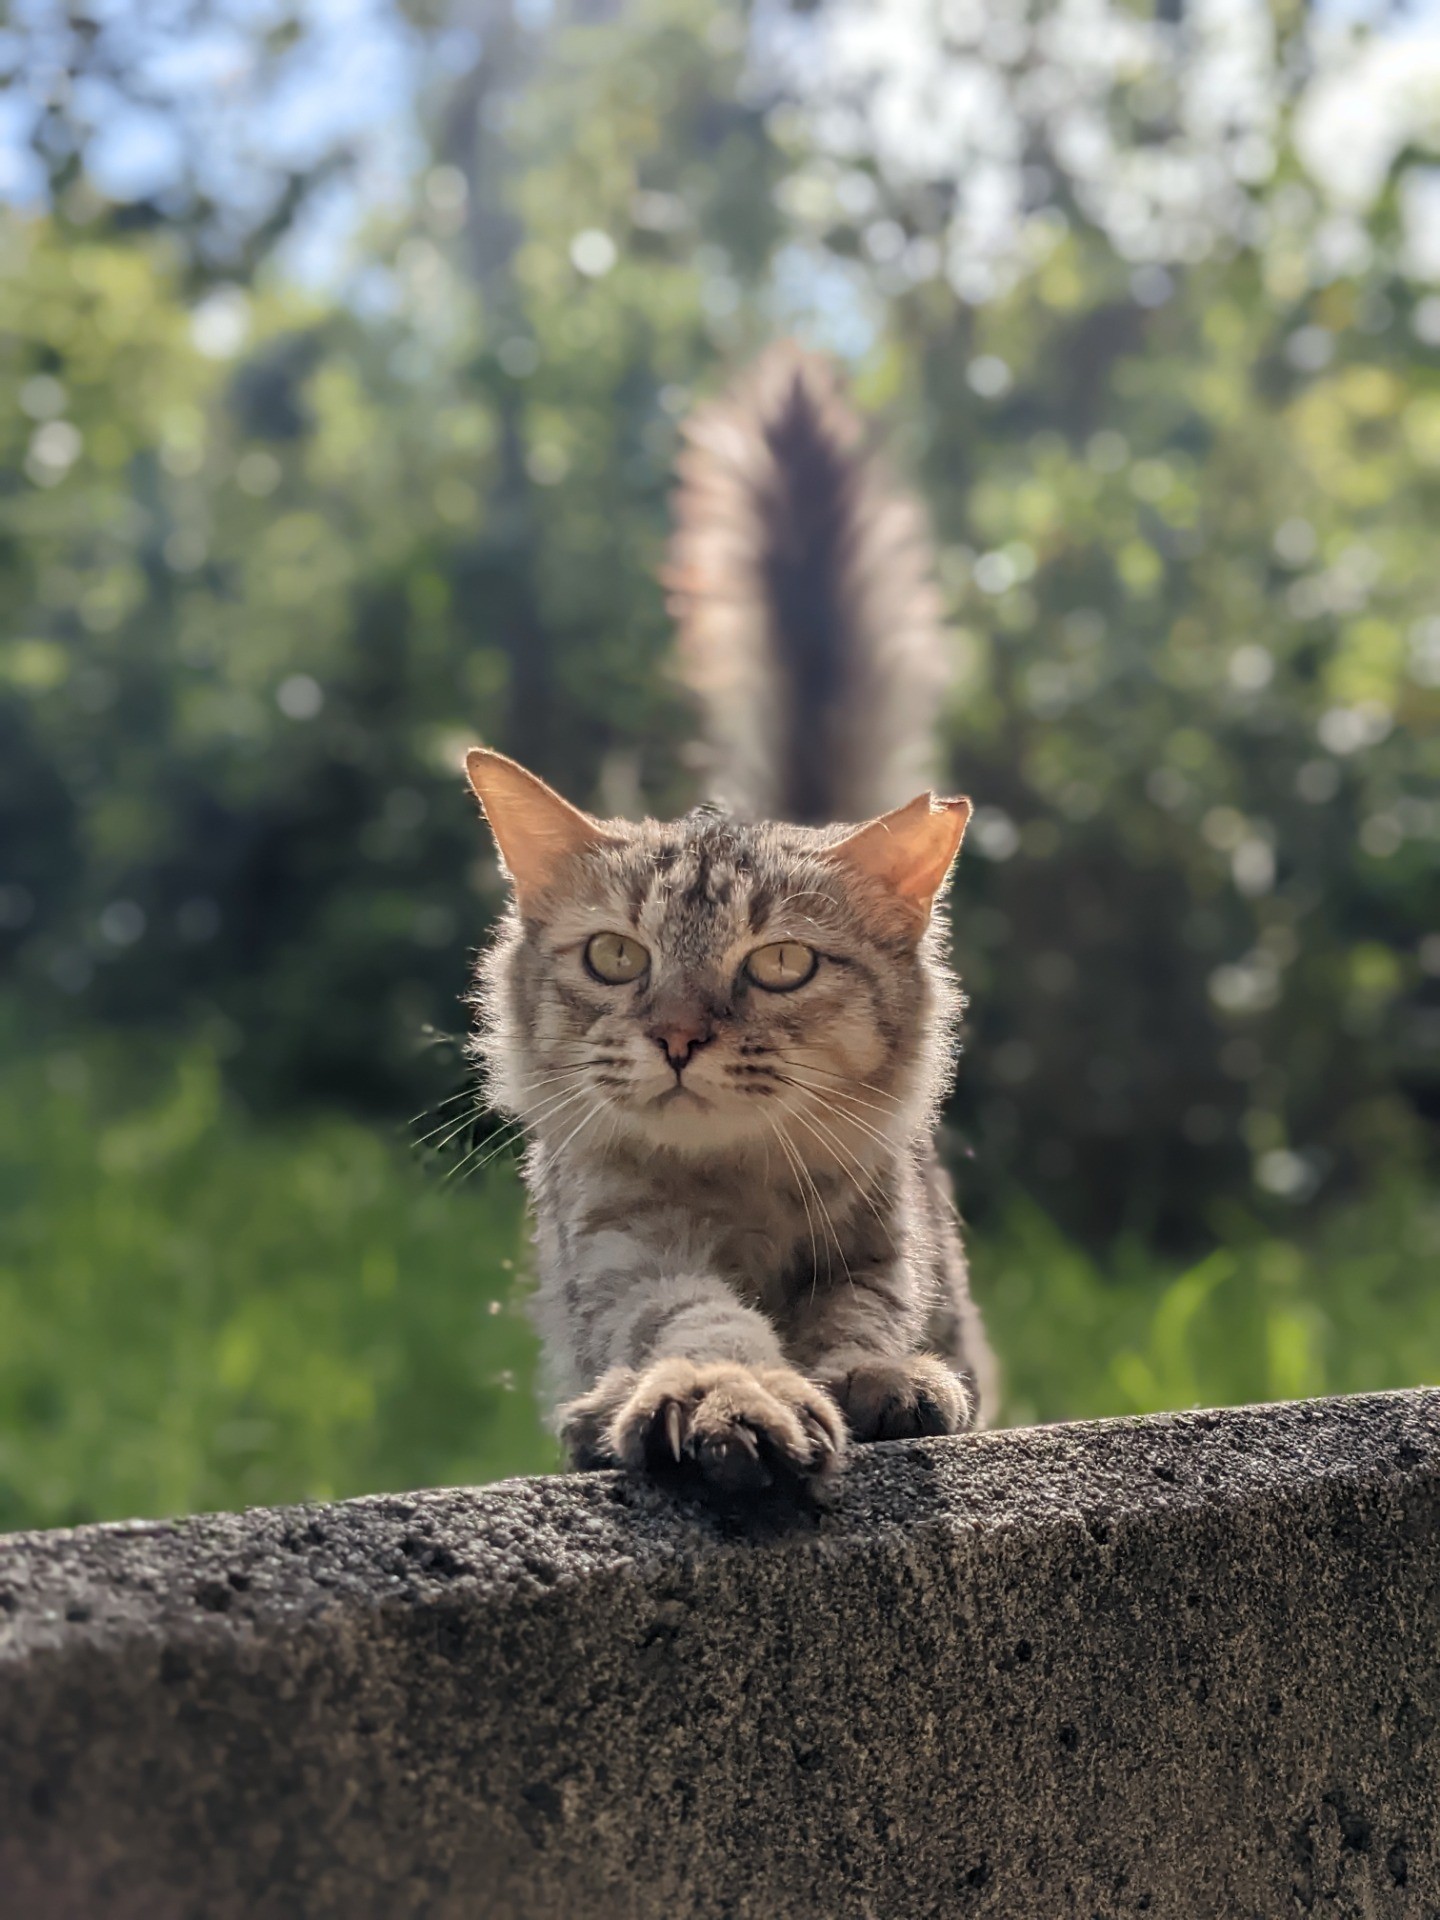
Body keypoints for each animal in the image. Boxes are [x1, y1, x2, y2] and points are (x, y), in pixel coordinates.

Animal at [468, 349, 998, 1497]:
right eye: (616, 955)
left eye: (784, 963)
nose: (677, 1037)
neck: (739, 1194)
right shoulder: (626, 1252)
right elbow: (702, 1324)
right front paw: (729, 1399)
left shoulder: (884, 1250)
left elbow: (859, 1322)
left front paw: (883, 1382)